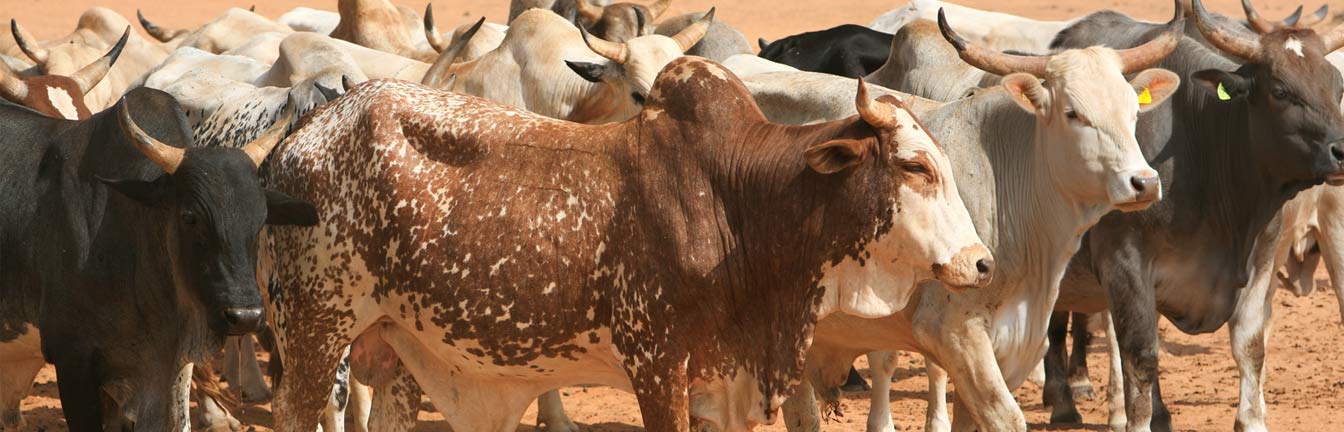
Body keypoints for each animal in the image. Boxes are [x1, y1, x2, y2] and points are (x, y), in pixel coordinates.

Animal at [260, 56, 991, 432]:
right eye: (916, 167)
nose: (981, 263)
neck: (738, 203)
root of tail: (296, 141)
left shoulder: (718, 382)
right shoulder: (656, 365)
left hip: (394, 348)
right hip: (313, 335)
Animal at [1048, 0, 1344, 430]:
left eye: (1338, 86)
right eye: (1280, 90)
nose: (1342, 150)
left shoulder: (1262, 259)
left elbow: (1250, 345)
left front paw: (1252, 418)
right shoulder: (1125, 267)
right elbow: (1138, 357)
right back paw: (1063, 400)